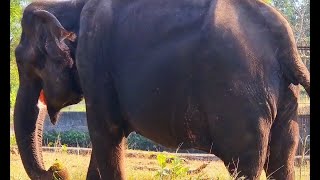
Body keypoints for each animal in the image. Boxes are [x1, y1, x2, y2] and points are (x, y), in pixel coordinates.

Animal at [14, 0, 310, 179]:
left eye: (24, 62)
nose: (56, 168)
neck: (69, 5)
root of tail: (285, 42)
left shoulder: (95, 65)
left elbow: (105, 134)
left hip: (240, 102)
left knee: (246, 164)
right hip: (285, 100)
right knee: (281, 160)